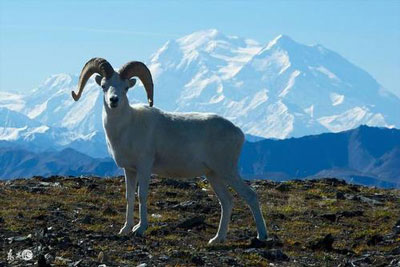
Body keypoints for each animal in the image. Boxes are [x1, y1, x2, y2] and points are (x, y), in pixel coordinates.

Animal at [71, 58, 268, 245]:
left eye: (125, 88)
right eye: (104, 86)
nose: (114, 100)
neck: (126, 128)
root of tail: (238, 132)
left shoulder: (144, 167)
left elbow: (142, 195)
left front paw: (140, 229)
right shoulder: (130, 170)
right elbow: (129, 197)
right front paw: (125, 229)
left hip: (227, 170)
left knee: (250, 195)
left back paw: (262, 236)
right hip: (213, 175)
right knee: (227, 202)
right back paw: (217, 239)